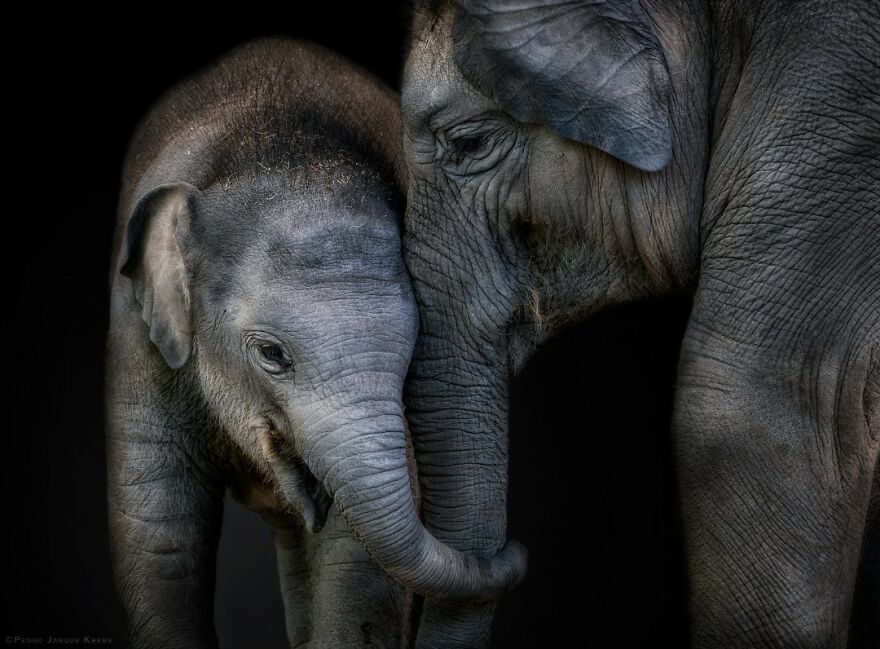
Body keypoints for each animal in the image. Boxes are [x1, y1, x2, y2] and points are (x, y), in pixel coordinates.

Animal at [105, 38, 522, 649]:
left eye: (412, 356)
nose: (513, 554)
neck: (280, 149)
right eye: (271, 355)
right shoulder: (138, 339)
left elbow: (353, 563)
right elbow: (160, 538)